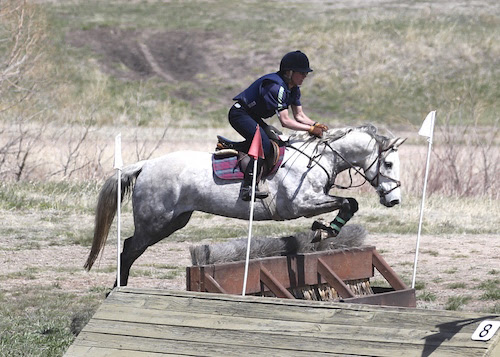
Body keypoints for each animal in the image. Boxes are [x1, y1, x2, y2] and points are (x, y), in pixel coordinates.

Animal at [84, 124, 406, 286]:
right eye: (388, 163)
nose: (394, 200)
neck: (318, 158)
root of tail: (146, 164)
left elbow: (349, 204)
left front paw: (324, 229)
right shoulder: (300, 204)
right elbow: (349, 202)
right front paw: (323, 229)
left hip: (175, 220)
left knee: (131, 248)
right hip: (155, 221)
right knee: (129, 249)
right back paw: (118, 289)